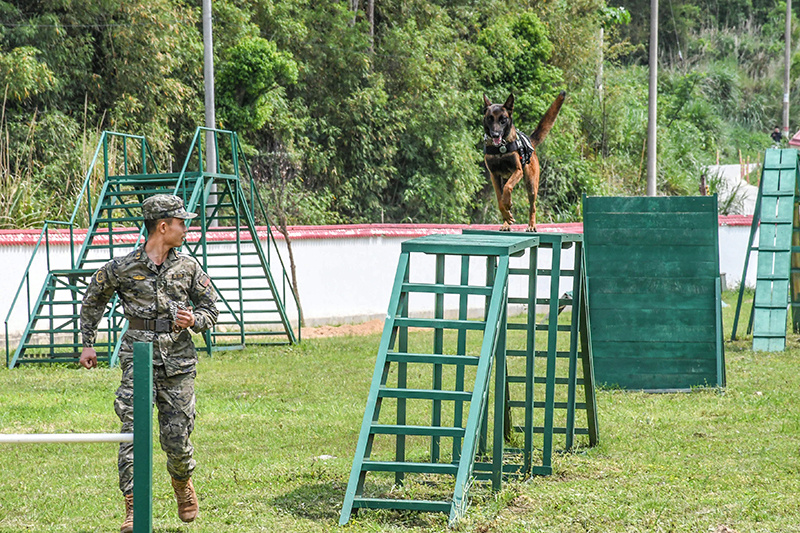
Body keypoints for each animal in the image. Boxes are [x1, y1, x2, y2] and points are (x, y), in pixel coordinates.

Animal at [484, 91, 564, 231]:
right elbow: (500, 199)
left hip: (531, 184)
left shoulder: (518, 171)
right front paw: (506, 213)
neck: (500, 148)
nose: (495, 135)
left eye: (503, 120)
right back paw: (506, 222)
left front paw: (508, 205)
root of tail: (530, 142)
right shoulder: (494, 176)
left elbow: (508, 188)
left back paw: (531, 225)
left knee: (533, 207)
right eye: (490, 118)